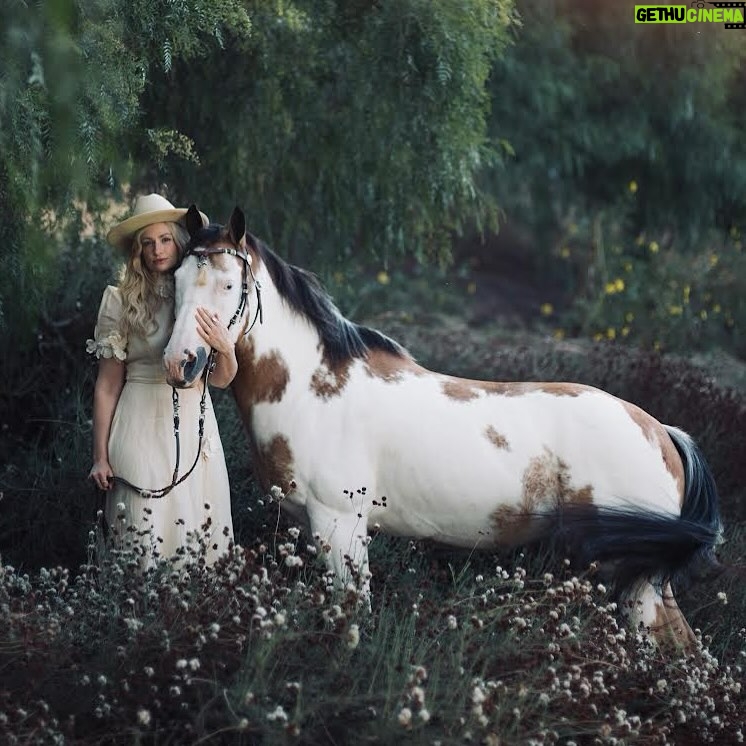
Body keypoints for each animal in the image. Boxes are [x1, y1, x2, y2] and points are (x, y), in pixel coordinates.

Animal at [163, 205, 720, 644]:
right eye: (175, 283)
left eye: (229, 285)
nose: (180, 363)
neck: (313, 389)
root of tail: (666, 436)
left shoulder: (341, 527)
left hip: (634, 581)